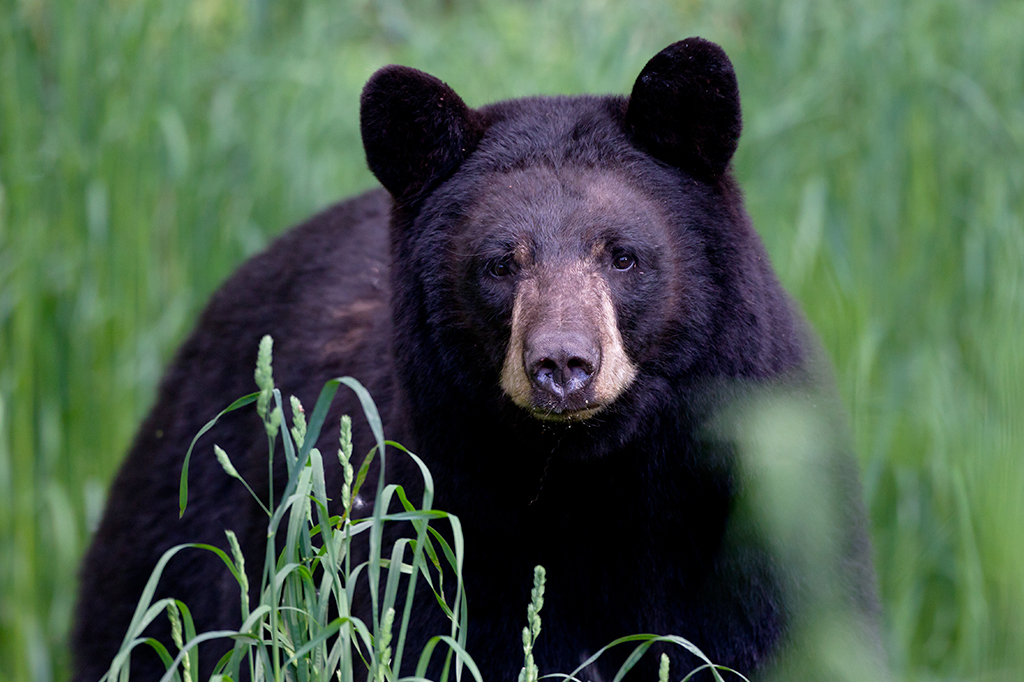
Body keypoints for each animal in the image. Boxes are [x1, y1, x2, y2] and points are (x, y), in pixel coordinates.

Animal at [72, 37, 884, 682]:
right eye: (499, 263)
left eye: (622, 255)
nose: (563, 365)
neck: (596, 488)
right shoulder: (444, 534)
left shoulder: (762, 533)